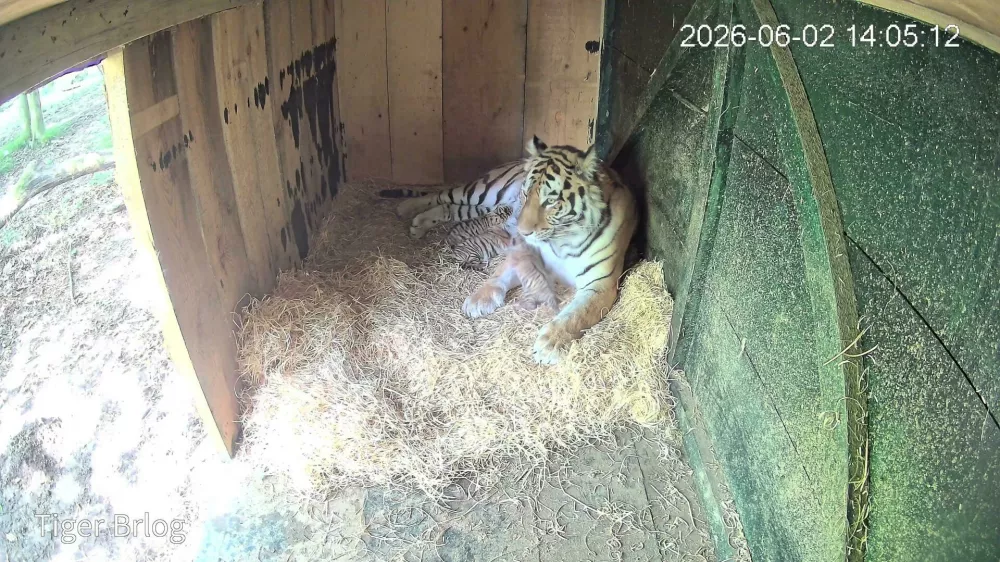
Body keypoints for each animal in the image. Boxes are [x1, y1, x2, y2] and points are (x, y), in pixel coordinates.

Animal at [461, 135, 638, 365]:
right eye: (525, 193)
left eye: (551, 201)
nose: (521, 231)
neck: (564, 240)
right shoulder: (526, 252)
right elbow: (501, 272)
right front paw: (478, 299)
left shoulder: (600, 284)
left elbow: (576, 315)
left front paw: (550, 342)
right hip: (480, 191)